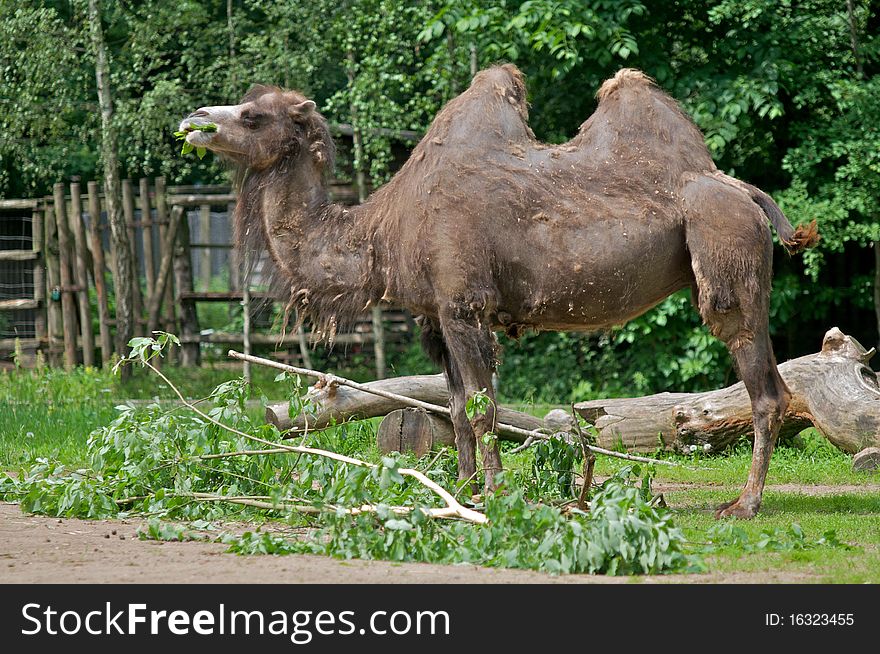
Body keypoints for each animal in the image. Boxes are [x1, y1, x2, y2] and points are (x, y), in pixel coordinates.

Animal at [180, 64, 820, 520]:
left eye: (253, 115)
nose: (194, 119)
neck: (381, 233)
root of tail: (744, 191)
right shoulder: (434, 315)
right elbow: (456, 408)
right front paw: (459, 492)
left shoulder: (465, 306)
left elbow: (482, 407)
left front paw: (491, 495)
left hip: (725, 250)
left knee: (763, 383)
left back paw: (744, 505)